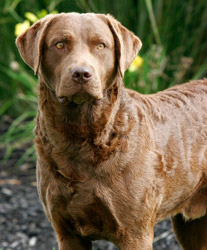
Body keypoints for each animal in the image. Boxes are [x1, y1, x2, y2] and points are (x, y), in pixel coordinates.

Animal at [16, 12, 207, 250]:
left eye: (101, 45)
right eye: (59, 44)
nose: (81, 73)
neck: (80, 136)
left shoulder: (135, 234)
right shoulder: (67, 233)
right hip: (190, 226)